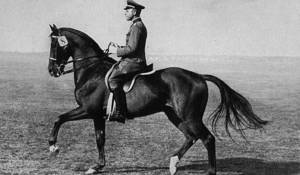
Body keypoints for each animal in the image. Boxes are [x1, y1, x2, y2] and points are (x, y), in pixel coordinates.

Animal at [48, 23, 268, 175]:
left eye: (55, 44)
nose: (52, 70)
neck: (91, 71)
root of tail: (198, 76)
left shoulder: (87, 110)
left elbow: (59, 118)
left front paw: (53, 146)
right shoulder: (97, 115)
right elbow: (99, 139)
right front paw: (97, 166)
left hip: (190, 117)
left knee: (207, 138)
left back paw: (207, 170)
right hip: (175, 115)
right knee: (191, 137)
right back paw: (173, 163)